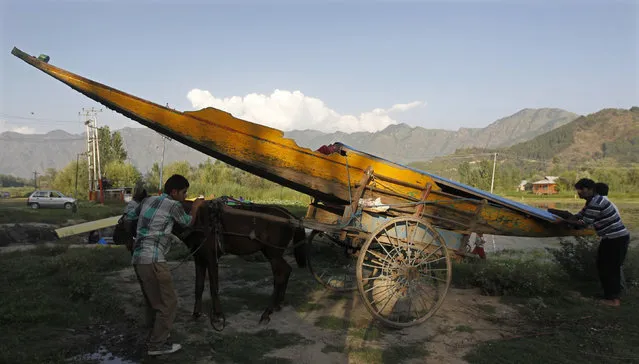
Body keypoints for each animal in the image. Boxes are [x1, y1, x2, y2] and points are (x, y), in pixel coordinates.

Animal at [172, 198, 308, 328]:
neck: (198, 219)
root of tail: (290, 217)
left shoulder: (212, 258)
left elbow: (214, 288)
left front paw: (217, 316)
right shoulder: (199, 258)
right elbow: (199, 287)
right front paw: (196, 314)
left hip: (273, 254)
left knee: (281, 274)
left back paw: (266, 313)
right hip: (271, 254)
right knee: (284, 271)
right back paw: (277, 305)